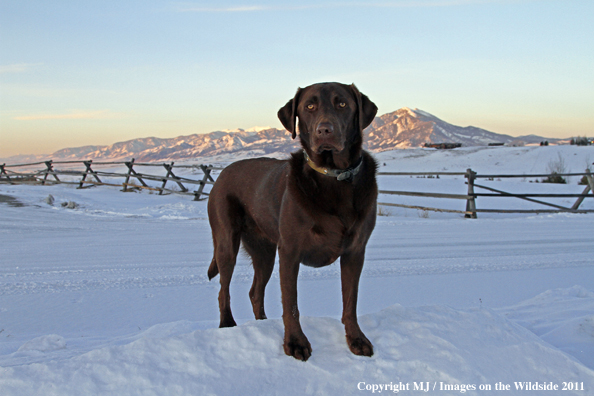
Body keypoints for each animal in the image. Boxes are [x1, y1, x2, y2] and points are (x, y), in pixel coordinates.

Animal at [206, 82, 376, 360]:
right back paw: (227, 324)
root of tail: (222, 173)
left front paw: (356, 339)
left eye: (342, 104)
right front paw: (295, 343)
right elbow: (291, 304)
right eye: (309, 106)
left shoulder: (355, 251)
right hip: (226, 242)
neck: (332, 176)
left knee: (255, 292)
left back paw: (262, 323)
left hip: (264, 251)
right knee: (223, 290)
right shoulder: (290, 252)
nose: (324, 130)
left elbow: (350, 302)